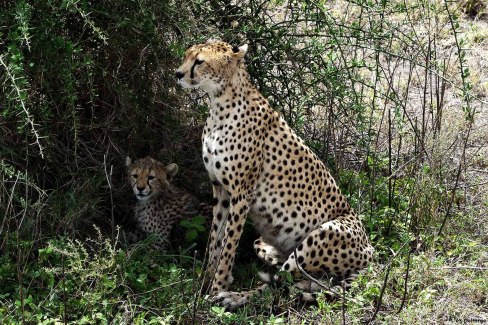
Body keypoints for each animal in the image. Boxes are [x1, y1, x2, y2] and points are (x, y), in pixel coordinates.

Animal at [175, 39, 374, 306]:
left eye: (199, 61)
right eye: (187, 55)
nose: (178, 74)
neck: (220, 102)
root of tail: (371, 253)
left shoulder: (242, 194)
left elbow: (228, 245)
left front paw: (217, 288)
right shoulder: (220, 190)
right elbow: (214, 241)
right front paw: (204, 282)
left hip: (323, 233)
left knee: (278, 285)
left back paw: (235, 298)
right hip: (268, 243)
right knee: (294, 278)